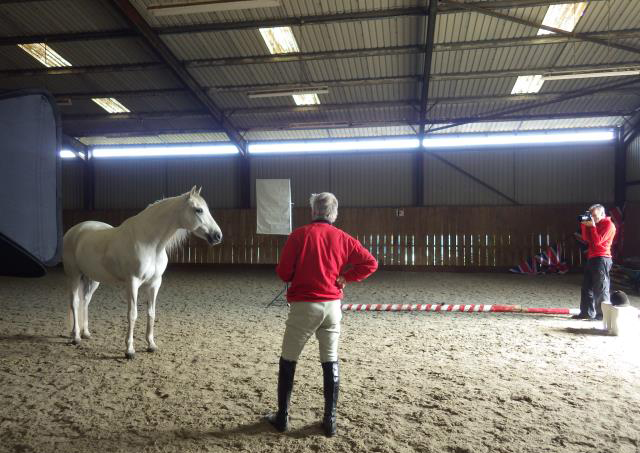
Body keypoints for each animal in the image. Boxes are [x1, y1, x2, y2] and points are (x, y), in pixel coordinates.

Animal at [63, 185, 222, 358]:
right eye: (199, 210)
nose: (218, 236)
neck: (149, 243)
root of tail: (74, 230)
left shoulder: (155, 284)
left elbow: (151, 313)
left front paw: (151, 345)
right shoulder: (132, 283)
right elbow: (132, 314)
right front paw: (129, 350)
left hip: (93, 279)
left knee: (85, 301)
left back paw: (85, 333)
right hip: (74, 276)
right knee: (75, 302)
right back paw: (76, 337)